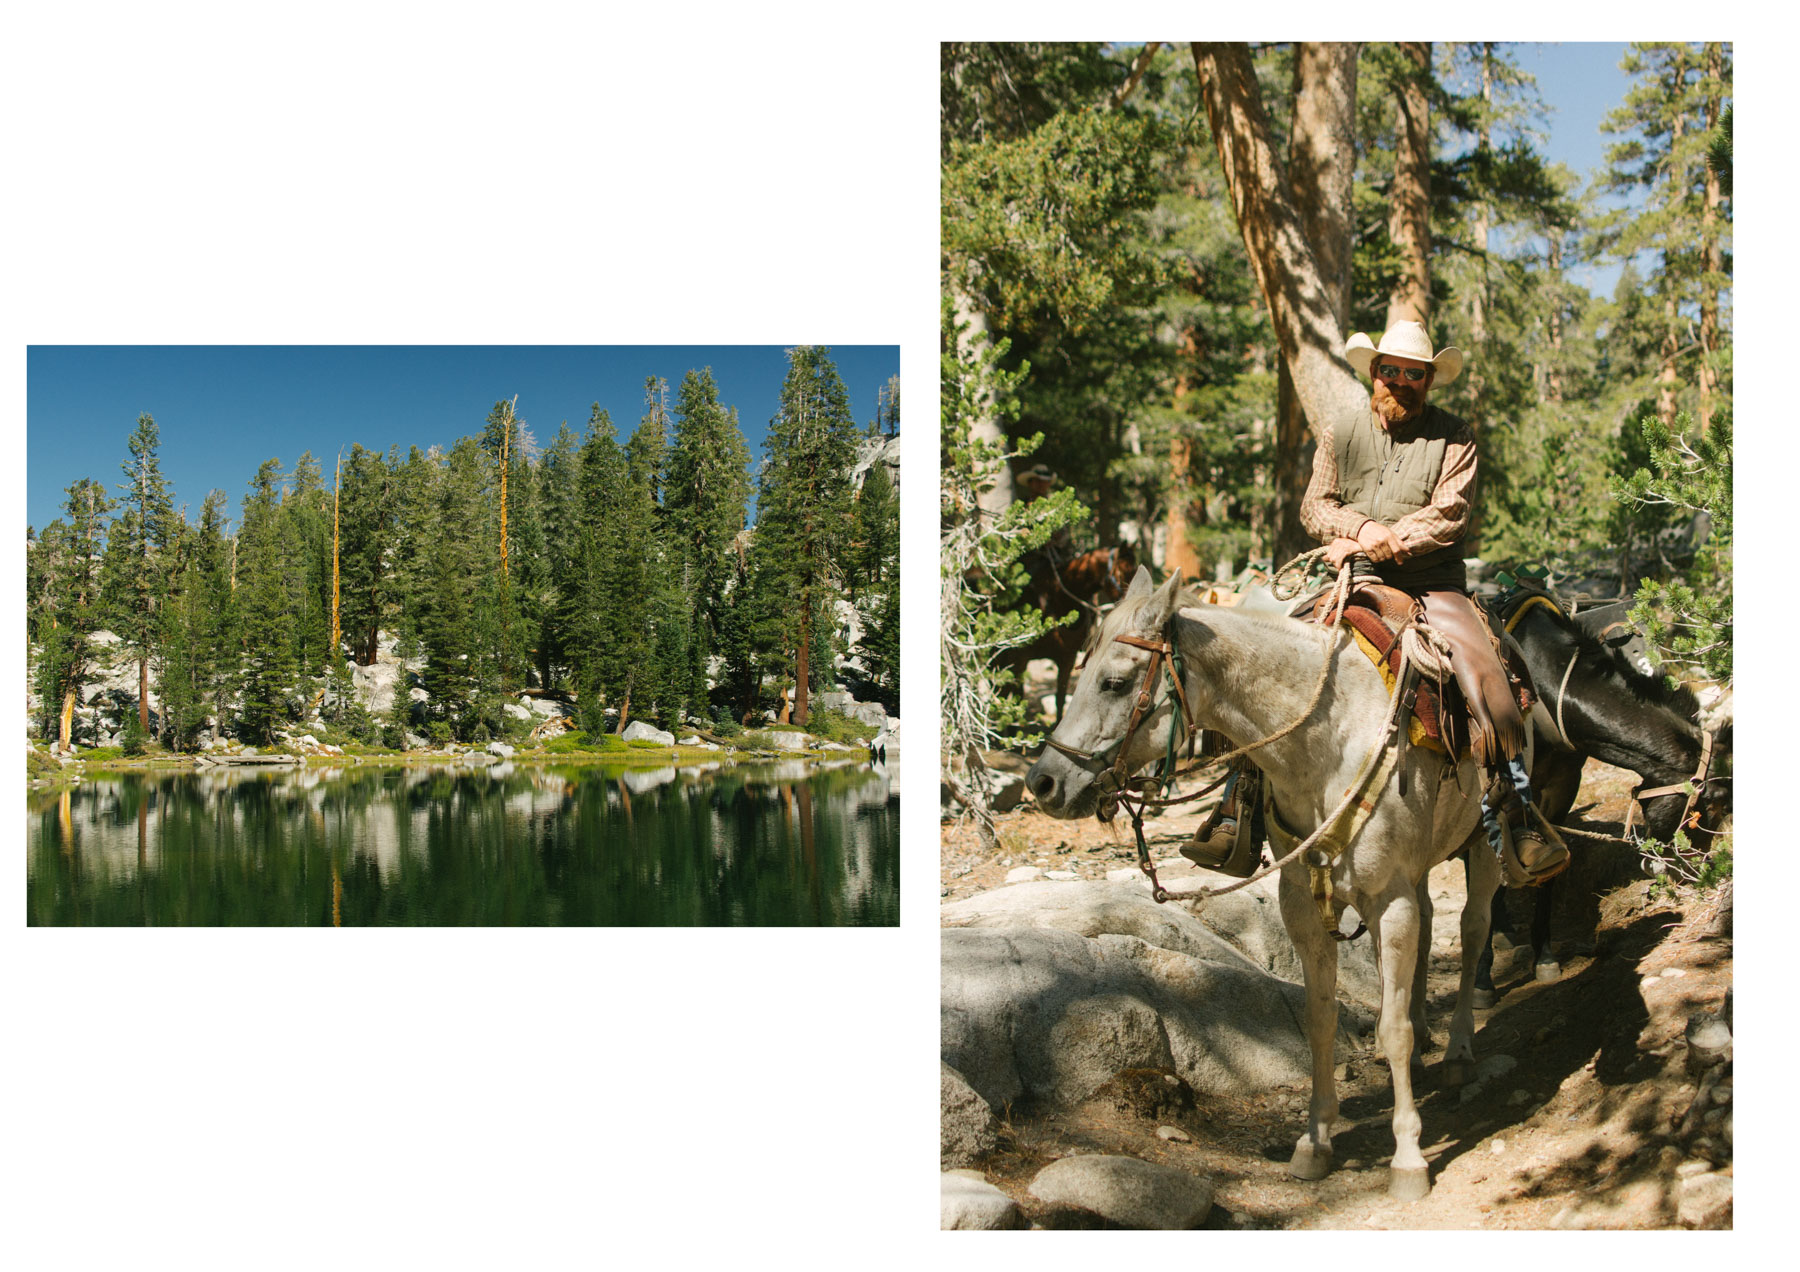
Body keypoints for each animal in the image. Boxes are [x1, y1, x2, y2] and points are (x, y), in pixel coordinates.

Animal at [1029, 568, 1504, 1201]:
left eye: (1114, 682)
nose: (1043, 782)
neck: (1330, 740)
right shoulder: (1303, 904)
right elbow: (1322, 1021)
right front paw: (1315, 1142)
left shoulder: (1390, 899)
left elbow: (1392, 1027)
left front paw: (1407, 1158)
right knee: (1430, 930)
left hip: (1485, 843)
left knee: (1473, 931)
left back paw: (1457, 1050)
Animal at [1476, 593, 1728, 1000]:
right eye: (1712, 807)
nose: (1699, 874)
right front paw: (1482, 977)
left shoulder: (1561, 787)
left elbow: (1552, 867)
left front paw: (1544, 957)